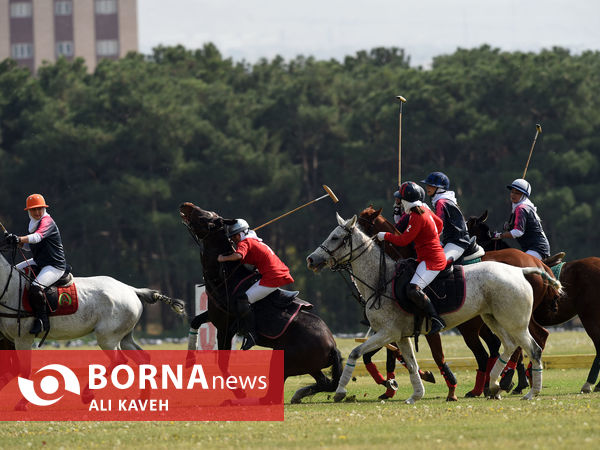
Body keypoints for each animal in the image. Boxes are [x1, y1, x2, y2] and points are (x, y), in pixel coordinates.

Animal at [178, 203, 342, 404]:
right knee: (324, 382)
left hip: (285, 359)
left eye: (206, 218)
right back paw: (298, 394)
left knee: (275, 393)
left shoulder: (225, 327)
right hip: (307, 365)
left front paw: (240, 391)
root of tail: (332, 345)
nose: (187, 205)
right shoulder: (215, 315)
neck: (225, 276)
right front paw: (190, 358)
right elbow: (195, 321)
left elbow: (222, 364)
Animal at [308, 214, 564, 404]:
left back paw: (530, 392)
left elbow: (355, 353)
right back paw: (494, 385)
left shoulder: (387, 333)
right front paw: (415, 394)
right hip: (492, 318)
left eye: (336, 237)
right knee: (510, 346)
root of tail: (521, 270)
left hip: (515, 322)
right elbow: (411, 364)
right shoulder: (400, 336)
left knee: (533, 349)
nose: (311, 259)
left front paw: (340, 392)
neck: (381, 279)